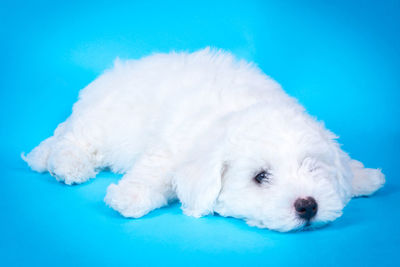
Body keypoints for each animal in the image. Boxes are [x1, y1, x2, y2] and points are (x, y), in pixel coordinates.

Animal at [21, 48, 384, 232]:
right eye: (260, 177)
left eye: (313, 168)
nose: (308, 205)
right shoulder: (171, 147)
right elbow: (153, 171)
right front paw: (130, 196)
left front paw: (362, 177)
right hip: (102, 123)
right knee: (74, 141)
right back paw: (68, 164)